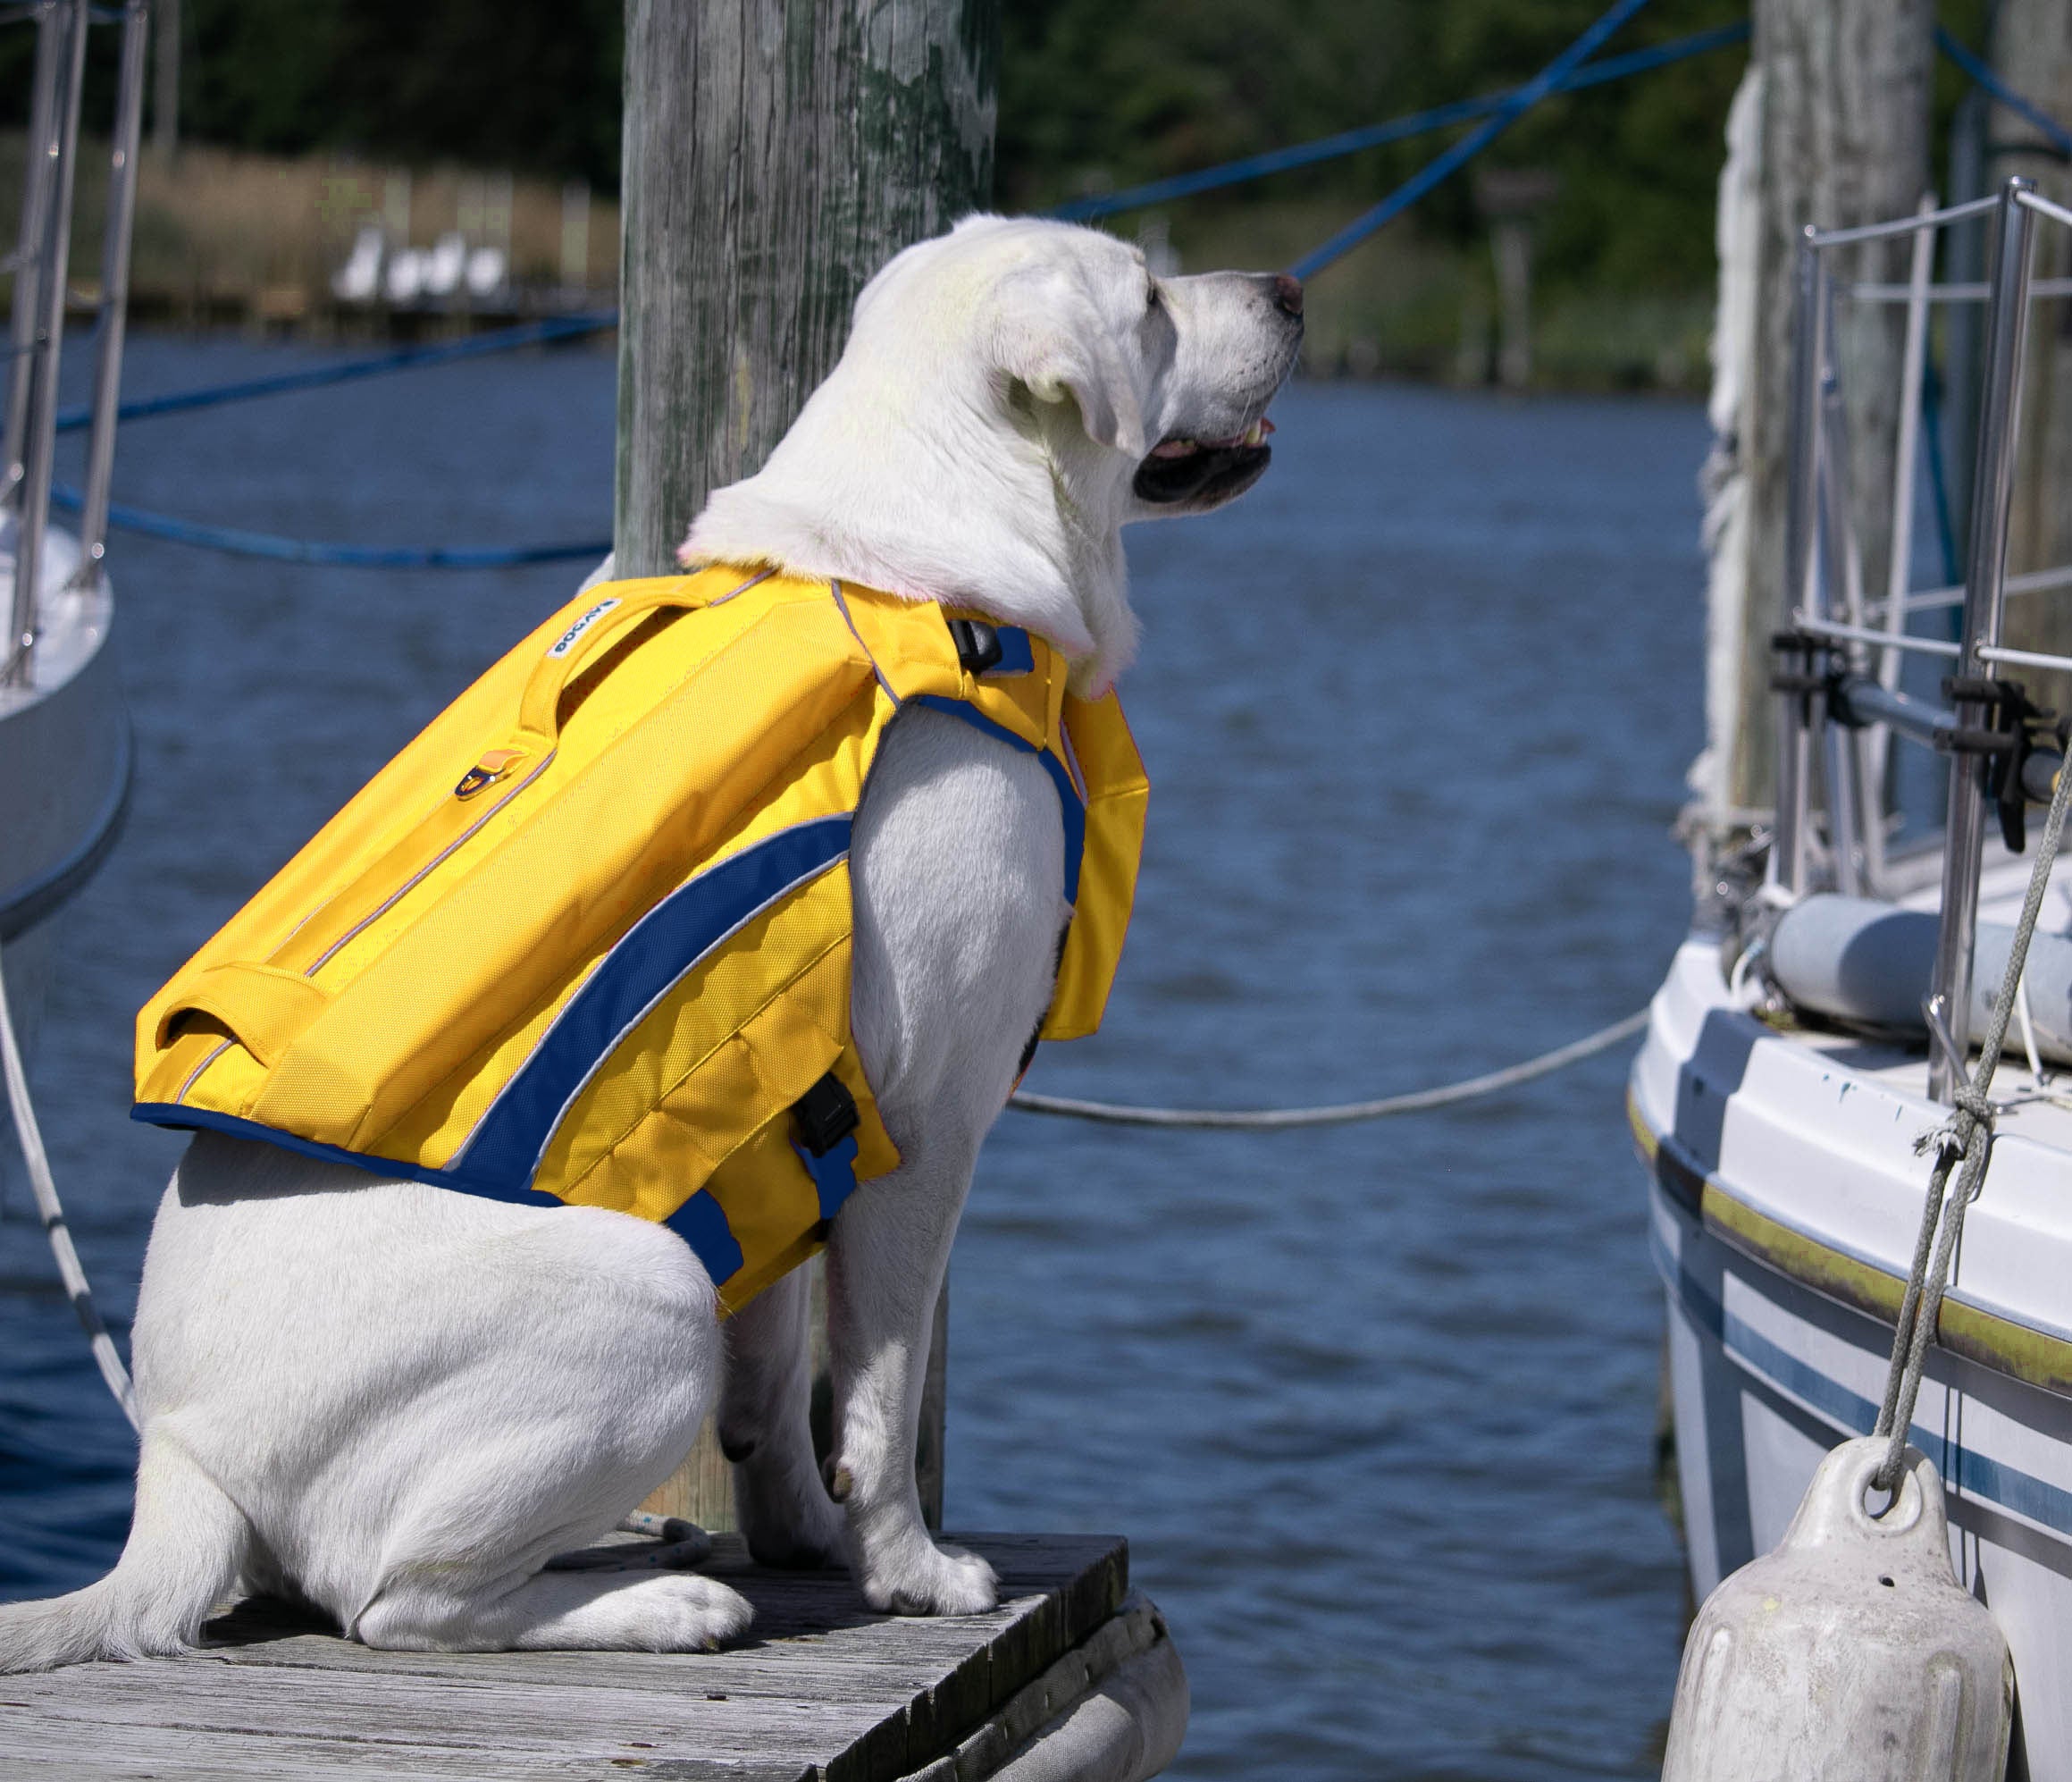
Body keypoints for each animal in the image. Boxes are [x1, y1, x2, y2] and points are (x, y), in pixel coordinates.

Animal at [4, 219, 1293, 1674]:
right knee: (401, 1602)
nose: (1290, 290)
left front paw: (805, 1538)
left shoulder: (788, 1130)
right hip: (651, 1291)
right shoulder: (925, 1130)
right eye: (1148, 300)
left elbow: (779, 1381)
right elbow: (878, 1392)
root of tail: (177, 1457)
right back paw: (668, 1604)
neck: (923, 561)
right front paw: (911, 1571)